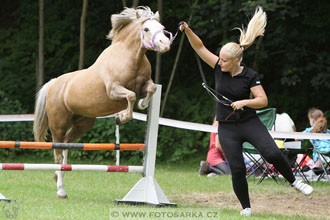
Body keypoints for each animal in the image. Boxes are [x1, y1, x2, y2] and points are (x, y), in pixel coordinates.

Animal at [32, 6, 173, 199]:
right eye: (146, 29)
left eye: (162, 27)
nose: (165, 44)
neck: (130, 56)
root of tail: (53, 84)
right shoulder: (113, 90)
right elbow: (130, 96)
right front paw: (122, 116)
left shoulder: (144, 86)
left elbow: (150, 89)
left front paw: (142, 105)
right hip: (58, 125)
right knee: (58, 152)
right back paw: (61, 190)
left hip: (83, 124)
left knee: (67, 145)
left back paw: (60, 176)